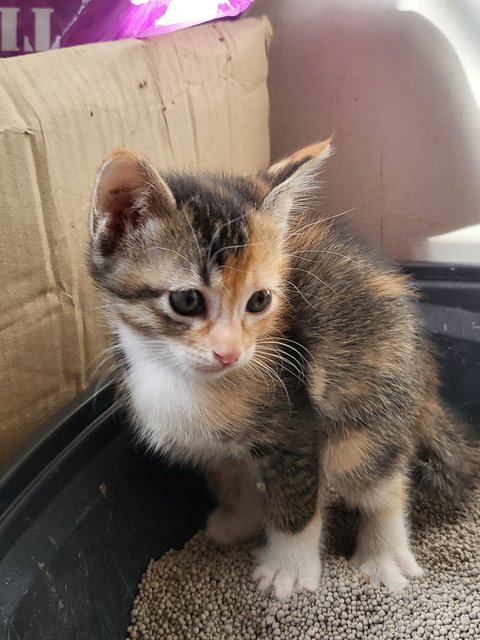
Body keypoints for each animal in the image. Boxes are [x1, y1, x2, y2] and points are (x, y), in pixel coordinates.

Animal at [89, 140, 476, 600]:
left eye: (259, 301)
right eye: (186, 301)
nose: (229, 353)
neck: (183, 377)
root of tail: (424, 367)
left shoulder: (297, 427)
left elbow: (296, 500)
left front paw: (288, 569)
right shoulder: (215, 444)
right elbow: (233, 479)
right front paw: (238, 521)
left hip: (367, 410)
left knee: (382, 478)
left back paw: (384, 557)